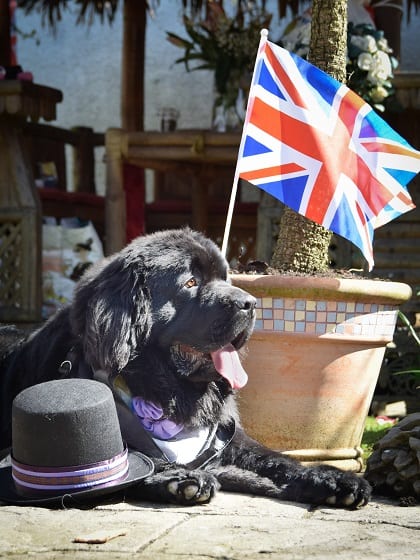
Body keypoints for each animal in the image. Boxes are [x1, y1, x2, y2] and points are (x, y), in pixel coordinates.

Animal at [0, 228, 370, 508]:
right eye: (191, 283)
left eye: (224, 277)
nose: (250, 303)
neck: (166, 390)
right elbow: (137, 465)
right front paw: (179, 479)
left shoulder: (228, 438)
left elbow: (275, 458)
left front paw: (334, 478)